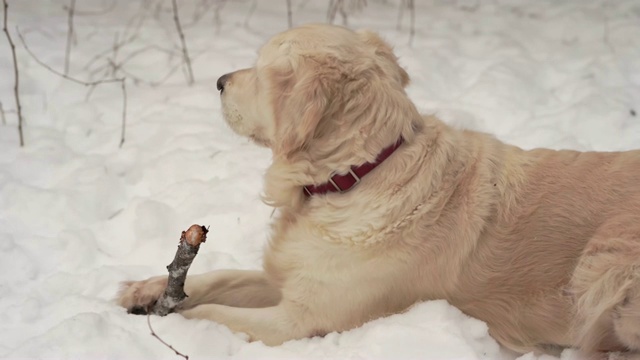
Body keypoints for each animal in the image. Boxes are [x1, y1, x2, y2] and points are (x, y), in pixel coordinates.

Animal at [117, 23, 640, 358]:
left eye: (262, 69)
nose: (220, 81)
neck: (356, 174)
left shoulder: (300, 321)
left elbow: (209, 315)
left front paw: (165, 321)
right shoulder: (290, 279)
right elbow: (219, 278)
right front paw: (144, 290)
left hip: (605, 265)